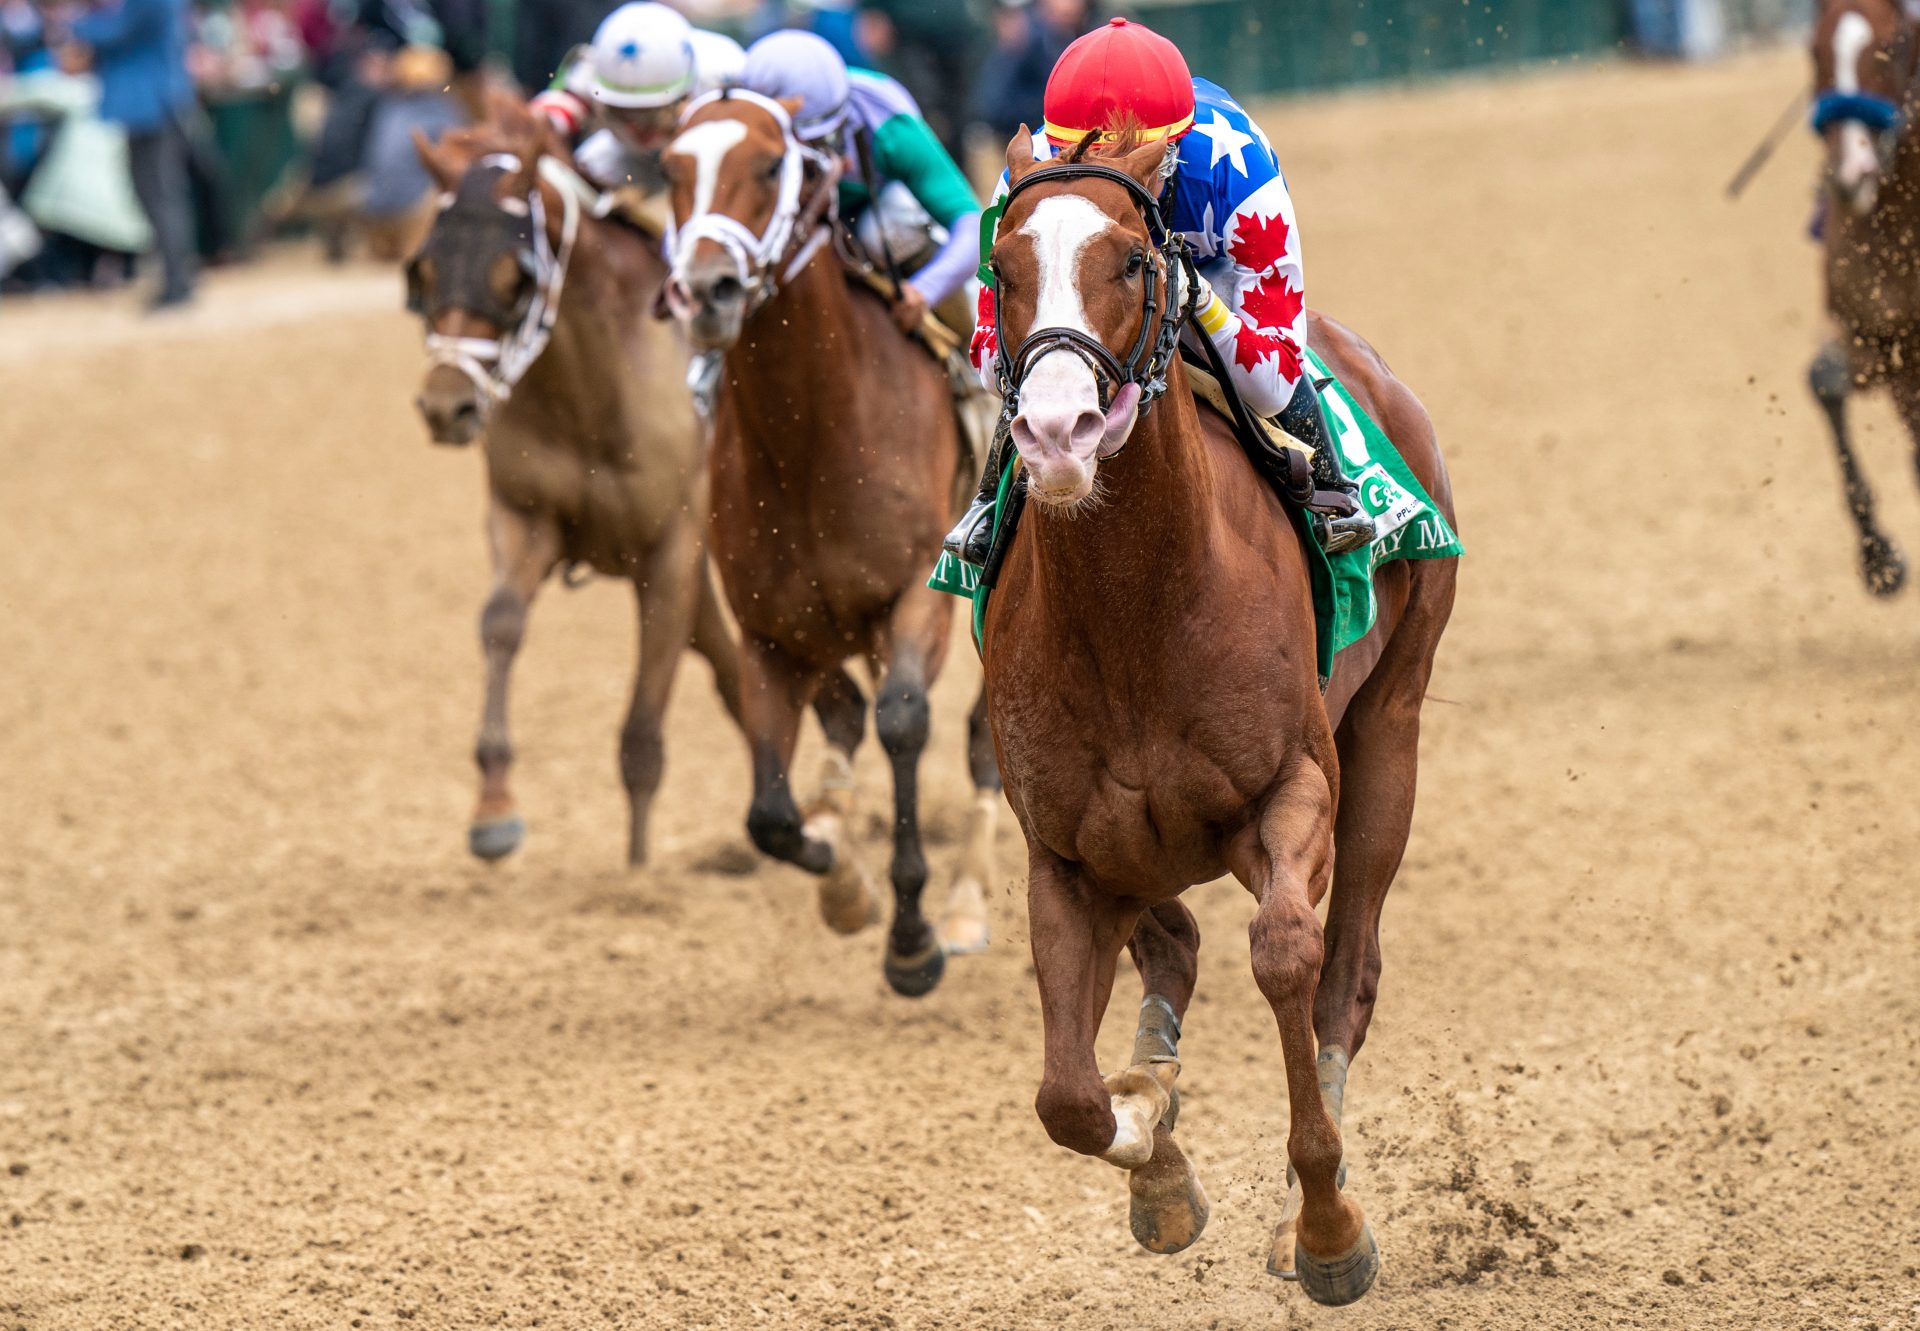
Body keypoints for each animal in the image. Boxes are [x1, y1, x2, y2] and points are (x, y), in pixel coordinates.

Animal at [660, 88, 998, 991]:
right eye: (669, 168)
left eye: (770, 163)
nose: (705, 288)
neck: (811, 433)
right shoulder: (769, 633)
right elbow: (770, 815)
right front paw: (843, 880)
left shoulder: (917, 597)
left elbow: (905, 722)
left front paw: (914, 936)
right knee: (845, 718)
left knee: (984, 737)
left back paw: (967, 904)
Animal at [975, 129, 1451, 1306]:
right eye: (1001, 268)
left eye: (1134, 263)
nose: (1054, 432)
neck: (1140, 608)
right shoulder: (1063, 850)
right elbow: (1067, 1094)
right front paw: (1156, 1153)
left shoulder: (1294, 785)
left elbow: (1286, 954)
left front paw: (1326, 1223)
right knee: (1174, 944)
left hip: (1393, 725)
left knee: (1346, 971)